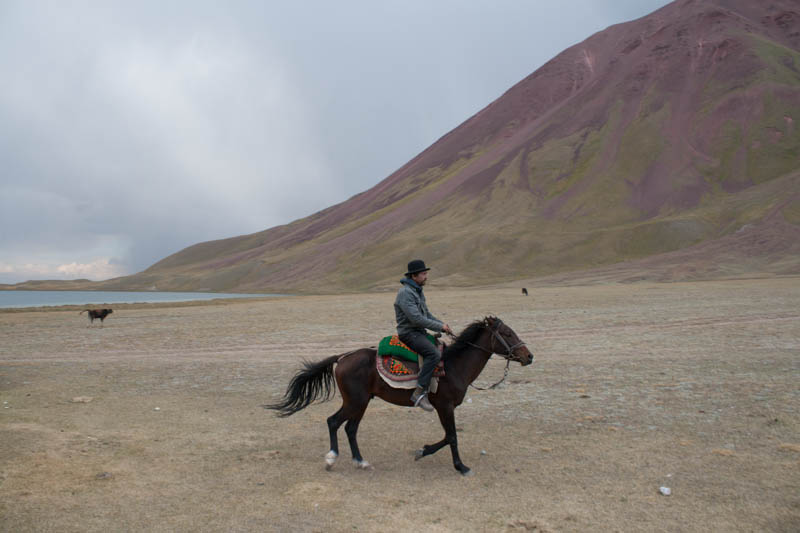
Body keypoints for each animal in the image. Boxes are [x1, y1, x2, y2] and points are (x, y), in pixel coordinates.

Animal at [266, 316, 536, 474]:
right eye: (508, 333)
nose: (529, 356)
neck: (455, 365)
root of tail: (342, 358)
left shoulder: (445, 408)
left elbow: (447, 437)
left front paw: (424, 451)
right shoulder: (445, 406)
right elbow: (451, 437)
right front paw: (459, 466)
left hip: (361, 402)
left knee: (350, 429)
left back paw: (360, 461)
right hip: (355, 401)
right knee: (333, 422)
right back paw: (332, 459)